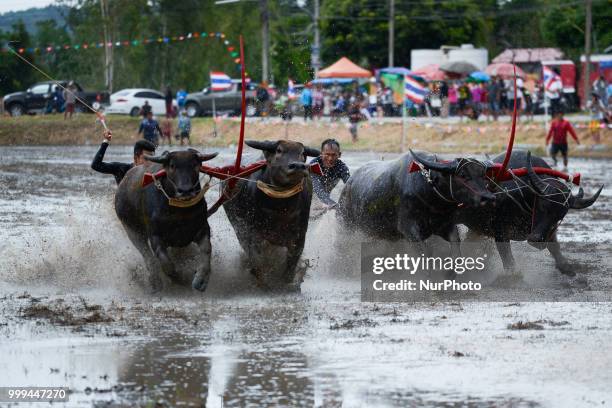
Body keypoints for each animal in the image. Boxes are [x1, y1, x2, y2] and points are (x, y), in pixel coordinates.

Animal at [116, 148, 219, 292]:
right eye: (172, 166)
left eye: (195, 165)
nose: (185, 190)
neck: (179, 211)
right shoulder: (155, 236)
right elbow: (165, 261)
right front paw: (181, 279)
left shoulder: (202, 228)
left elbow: (206, 249)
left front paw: (200, 281)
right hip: (132, 229)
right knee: (147, 255)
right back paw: (155, 282)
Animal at [225, 139, 320, 290]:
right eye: (279, 150)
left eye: (302, 153)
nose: (298, 166)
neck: (281, 208)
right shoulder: (254, 235)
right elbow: (258, 260)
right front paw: (263, 283)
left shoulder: (299, 237)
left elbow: (291, 264)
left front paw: (287, 283)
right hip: (238, 228)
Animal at [338, 150, 494, 252]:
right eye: (462, 174)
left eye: (483, 175)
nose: (488, 197)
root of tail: (348, 183)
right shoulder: (410, 231)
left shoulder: (445, 225)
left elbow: (456, 246)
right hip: (346, 225)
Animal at [460, 151, 604, 278]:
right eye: (543, 206)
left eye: (560, 216)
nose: (537, 240)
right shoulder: (500, 230)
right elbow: (508, 258)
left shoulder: (548, 231)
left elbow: (555, 249)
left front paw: (567, 268)